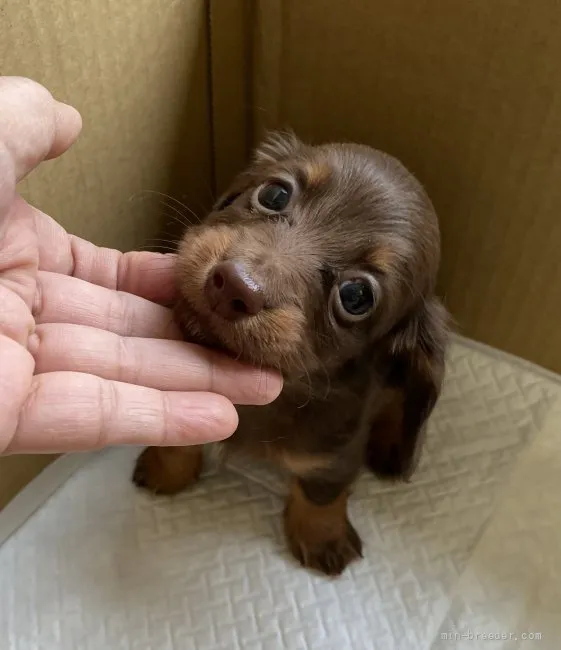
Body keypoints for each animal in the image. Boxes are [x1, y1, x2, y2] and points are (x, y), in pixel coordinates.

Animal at [131, 130, 446, 572]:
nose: (234, 286)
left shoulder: (335, 451)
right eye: (275, 194)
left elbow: (322, 490)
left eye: (356, 296)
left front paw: (322, 536)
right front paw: (167, 470)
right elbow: (180, 436)